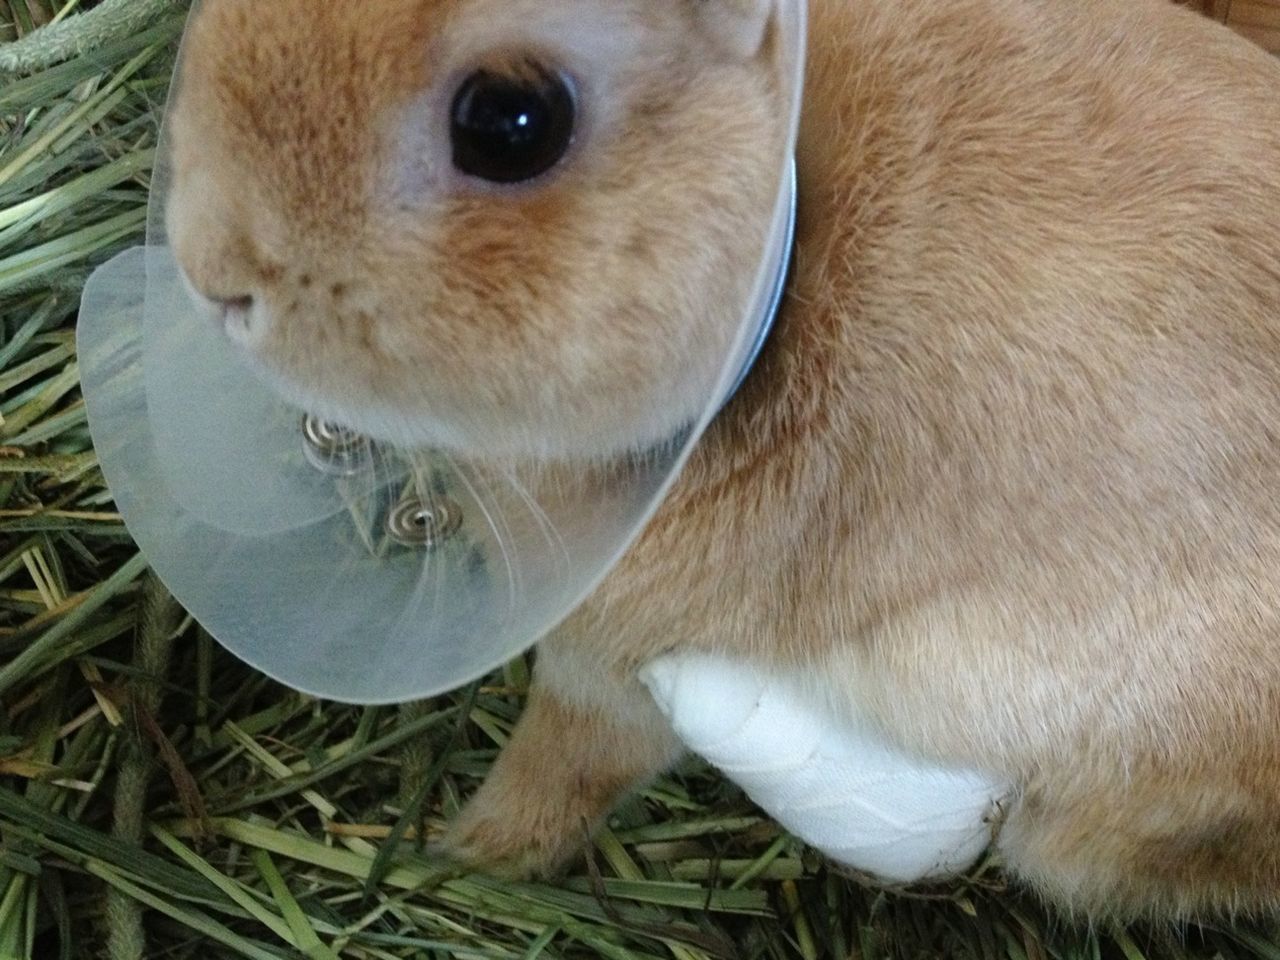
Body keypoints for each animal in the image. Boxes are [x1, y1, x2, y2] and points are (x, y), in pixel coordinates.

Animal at [162, 0, 1280, 921]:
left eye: (510, 122)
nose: (212, 271)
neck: (777, 290)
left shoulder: (606, 670)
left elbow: (562, 770)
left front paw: (464, 852)